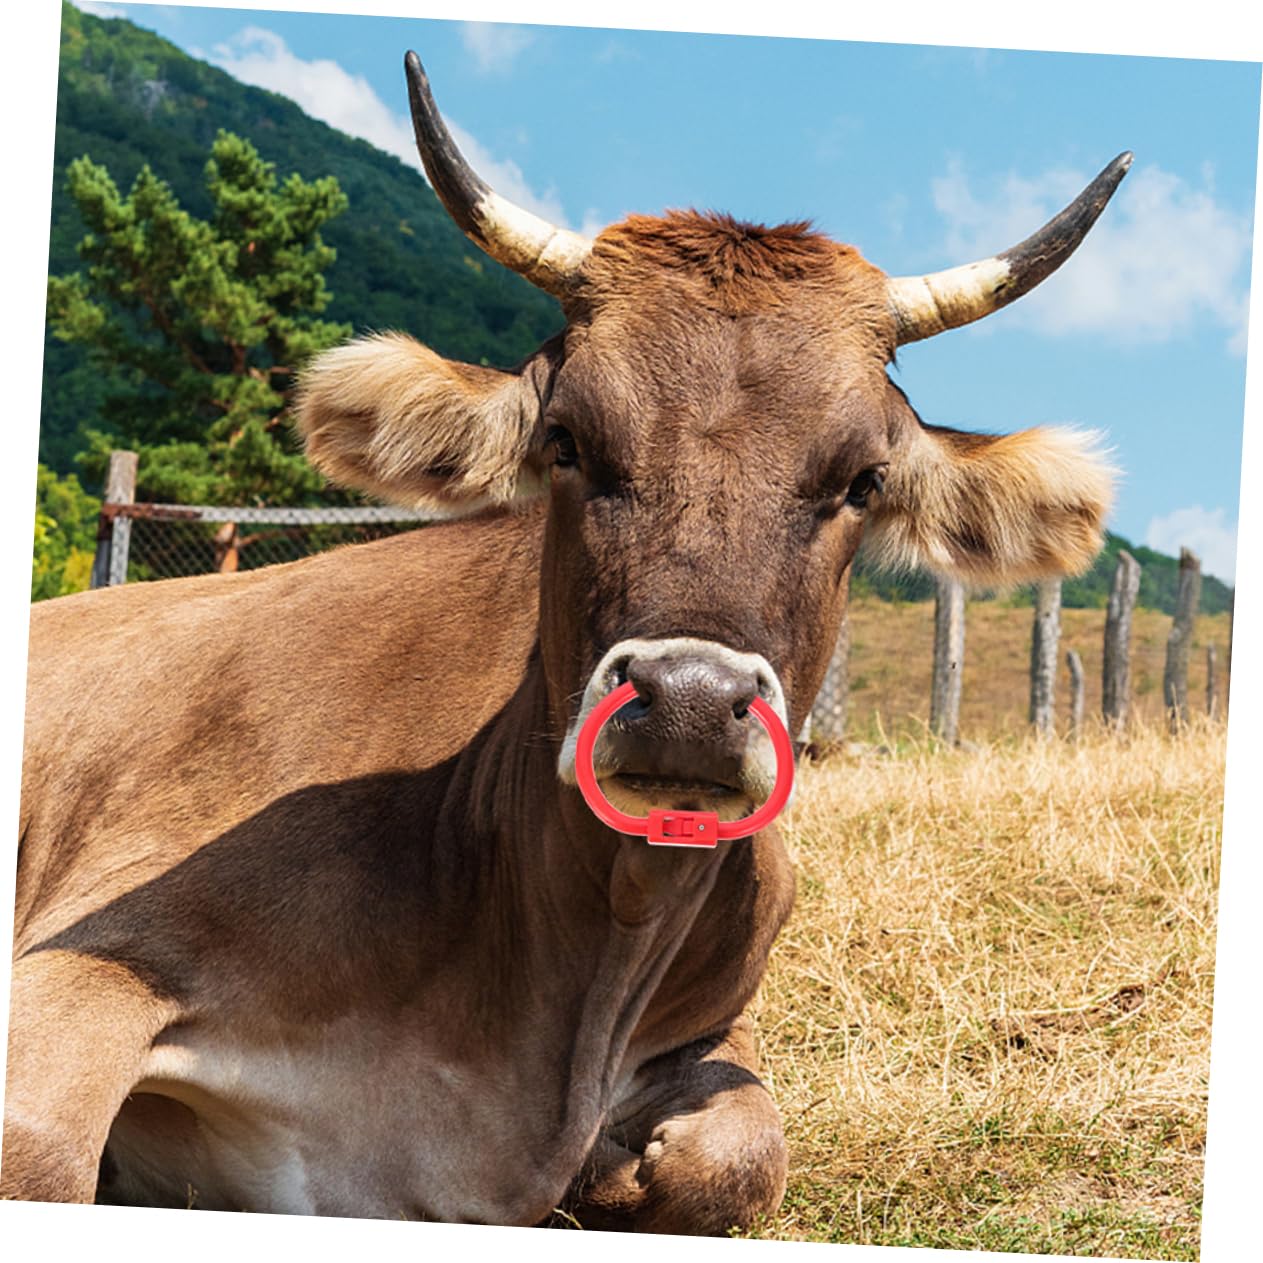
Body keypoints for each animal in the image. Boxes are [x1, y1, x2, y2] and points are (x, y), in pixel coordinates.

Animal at [2, 51, 1124, 1234]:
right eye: (569, 441)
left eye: (862, 479)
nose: (688, 701)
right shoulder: (98, 959)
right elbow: (40, 1154)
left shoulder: (715, 1023)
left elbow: (737, 1157)